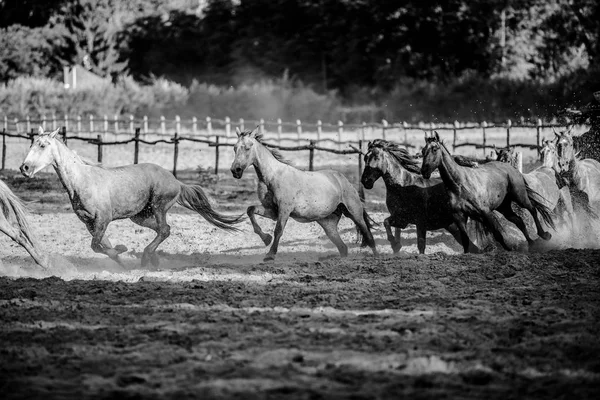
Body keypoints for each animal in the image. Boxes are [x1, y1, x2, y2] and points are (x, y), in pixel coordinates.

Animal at [22, 126, 244, 268]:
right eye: (32, 143)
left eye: (42, 145)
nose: (24, 167)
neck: (82, 182)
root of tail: (176, 182)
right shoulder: (90, 223)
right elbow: (101, 246)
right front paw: (122, 260)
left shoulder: (103, 219)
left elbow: (96, 245)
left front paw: (122, 249)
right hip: (140, 216)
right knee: (163, 230)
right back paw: (152, 260)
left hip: (159, 207)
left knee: (164, 230)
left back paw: (147, 258)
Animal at [230, 126, 376, 260]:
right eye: (234, 147)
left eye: (248, 147)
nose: (235, 170)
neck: (272, 177)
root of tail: (344, 180)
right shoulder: (272, 211)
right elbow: (250, 210)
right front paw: (266, 238)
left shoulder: (284, 209)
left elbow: (278, 230)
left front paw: (270, 254)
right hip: (328, 224)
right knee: (343, 247)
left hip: (355, 214)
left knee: (368, 236)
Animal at [420, 133, 556, 252]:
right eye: (422, 151)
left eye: (435, 149)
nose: (424, 171)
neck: (460, 184)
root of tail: (511, 168)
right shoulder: (460, 217)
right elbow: (465, 241)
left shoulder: (485, 212)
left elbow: (497, 234)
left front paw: (509, 250)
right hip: (504, 206)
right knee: (518, 221)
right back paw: (532, 243)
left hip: (520, 196)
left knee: (532, 209)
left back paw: (544, 235)